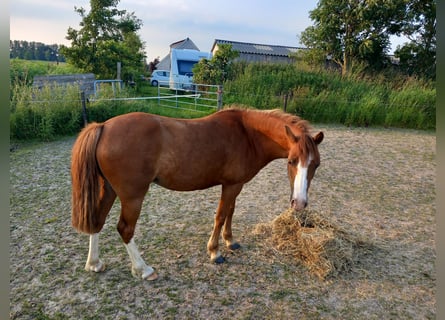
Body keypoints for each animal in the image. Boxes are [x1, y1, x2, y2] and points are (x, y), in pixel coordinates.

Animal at [72, 106, 322, 278]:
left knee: (97, 220)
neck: (247, 134)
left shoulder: (235, 184)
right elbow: (221, 215)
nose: (299, 203)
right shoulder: (231, 185)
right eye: (291, 161)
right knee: (125, 229)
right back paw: (143, 269)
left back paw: (94, 264)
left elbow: (230, 212)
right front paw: (215, 252)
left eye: (316, 164)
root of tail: (103, 127)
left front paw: (230, 241)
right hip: (132, 196)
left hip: (109, 190)